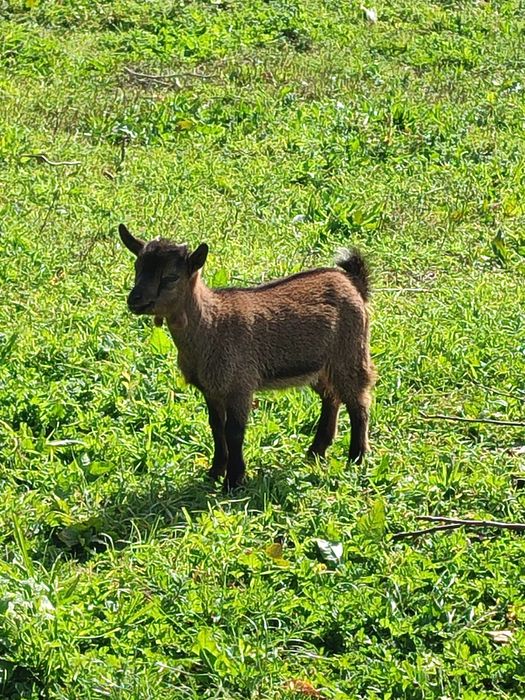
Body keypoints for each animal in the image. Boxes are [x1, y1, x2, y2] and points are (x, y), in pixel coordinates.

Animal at [119, 223, 376, 490]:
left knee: (359, 401)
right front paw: (215, 471)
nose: (134, 300)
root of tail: (354, 283)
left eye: (171, 277)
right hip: (321, 365)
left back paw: (356, 457)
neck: (211, 325)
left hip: (350, 351)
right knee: (332, 397)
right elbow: (216, 427)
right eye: (137, 267)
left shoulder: (239, 385)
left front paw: (234, 480)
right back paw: (316, 451)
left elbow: (234, 431)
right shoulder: (211, 389)